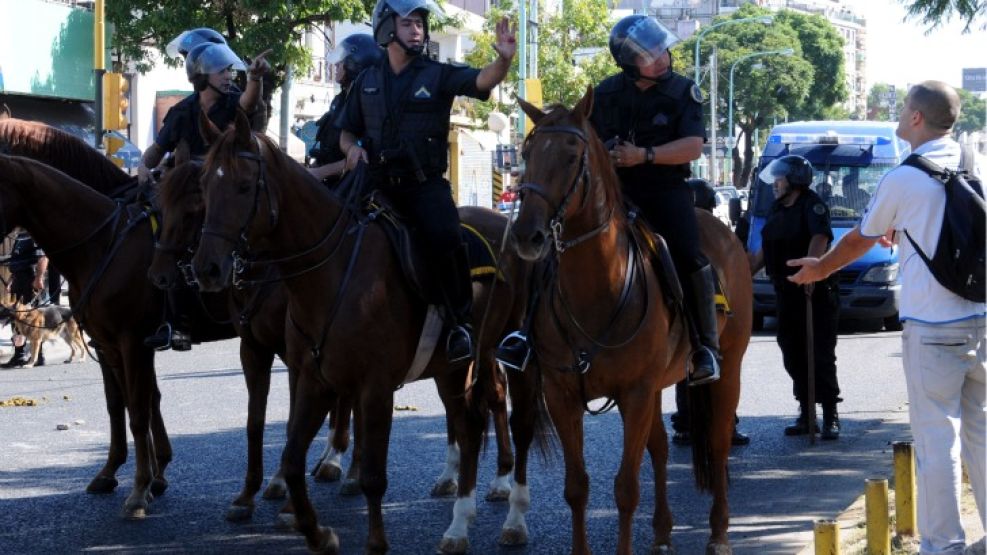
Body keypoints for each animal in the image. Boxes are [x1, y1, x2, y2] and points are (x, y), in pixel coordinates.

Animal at [194, 111, 532, 552]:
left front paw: (373, 540)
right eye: (203, 184)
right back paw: (459, 523)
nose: (207, 269)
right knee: (469, 425)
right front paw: (316, 531)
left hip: (505, 351)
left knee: (510, 415)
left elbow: (373, 475)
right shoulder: (313, 379)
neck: (332, 270)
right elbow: (291, 455)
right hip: (451, 366)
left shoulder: (375, 388)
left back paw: (511, 512)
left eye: (244, 185)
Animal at [506, 89, 752, 552]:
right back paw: (662, 532)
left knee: (718, 441)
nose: (526, 235)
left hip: (728, 367)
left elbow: (625, 488)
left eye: (572, 156)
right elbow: (577, 487)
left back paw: (719, 532)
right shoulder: (562, 395)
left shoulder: (634, 393)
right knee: (659, 447)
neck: (598, 287)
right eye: (526, 153)